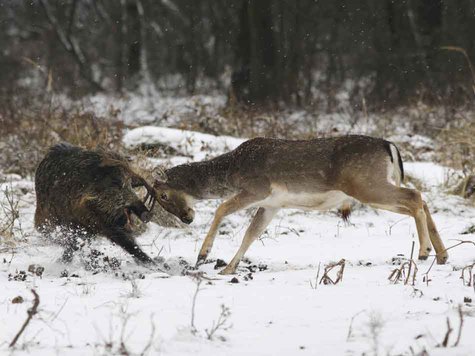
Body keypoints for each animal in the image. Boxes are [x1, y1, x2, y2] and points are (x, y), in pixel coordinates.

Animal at [153, 135, 450, 274]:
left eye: (162, 196)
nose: (187, 218)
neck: (230, 172)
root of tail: (390, 146)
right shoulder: (272, 203)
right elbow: (251, 234)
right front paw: (228, 268)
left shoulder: (257, 187)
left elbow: (221, 209)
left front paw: (203, 254)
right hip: (371, 186)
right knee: (420, 198)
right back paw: (442, 255)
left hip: (366, 185)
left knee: (415, 196)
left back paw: (424, 251)